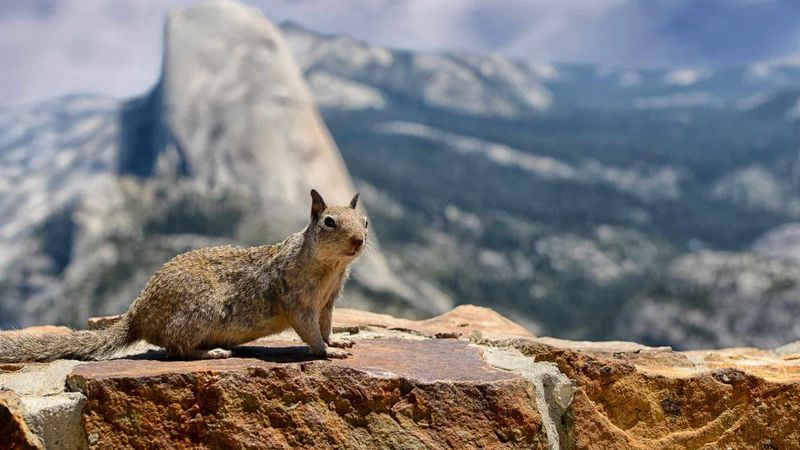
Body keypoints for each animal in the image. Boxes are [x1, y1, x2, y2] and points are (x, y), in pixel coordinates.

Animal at [0, 190, 368, 362]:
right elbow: (308, 330)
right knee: (176, 349)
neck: (330, 268)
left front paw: (337, 341)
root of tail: (138, 314)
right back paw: (213, 354)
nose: (359, 240)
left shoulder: (328, 302)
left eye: (364, 221)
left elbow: (326, 324)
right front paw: (326, 352)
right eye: (329, 222)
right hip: (201, 309)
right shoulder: (297, 298)